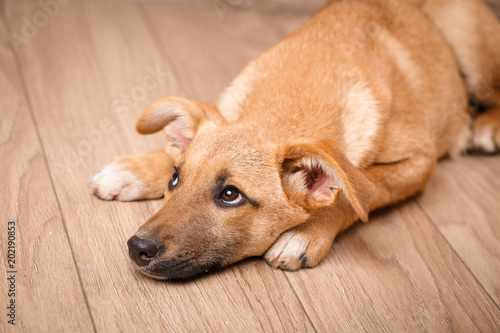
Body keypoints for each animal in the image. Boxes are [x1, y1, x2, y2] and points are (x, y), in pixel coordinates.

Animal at [92, 0, 500, 278]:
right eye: (176, 179)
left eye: (230, 195)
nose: (137, 248)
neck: (289, 102)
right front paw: (136, 169)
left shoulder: (419, 161)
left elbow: (353, 193)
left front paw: (304, 234)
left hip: (469, 44)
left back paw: (485, 126)